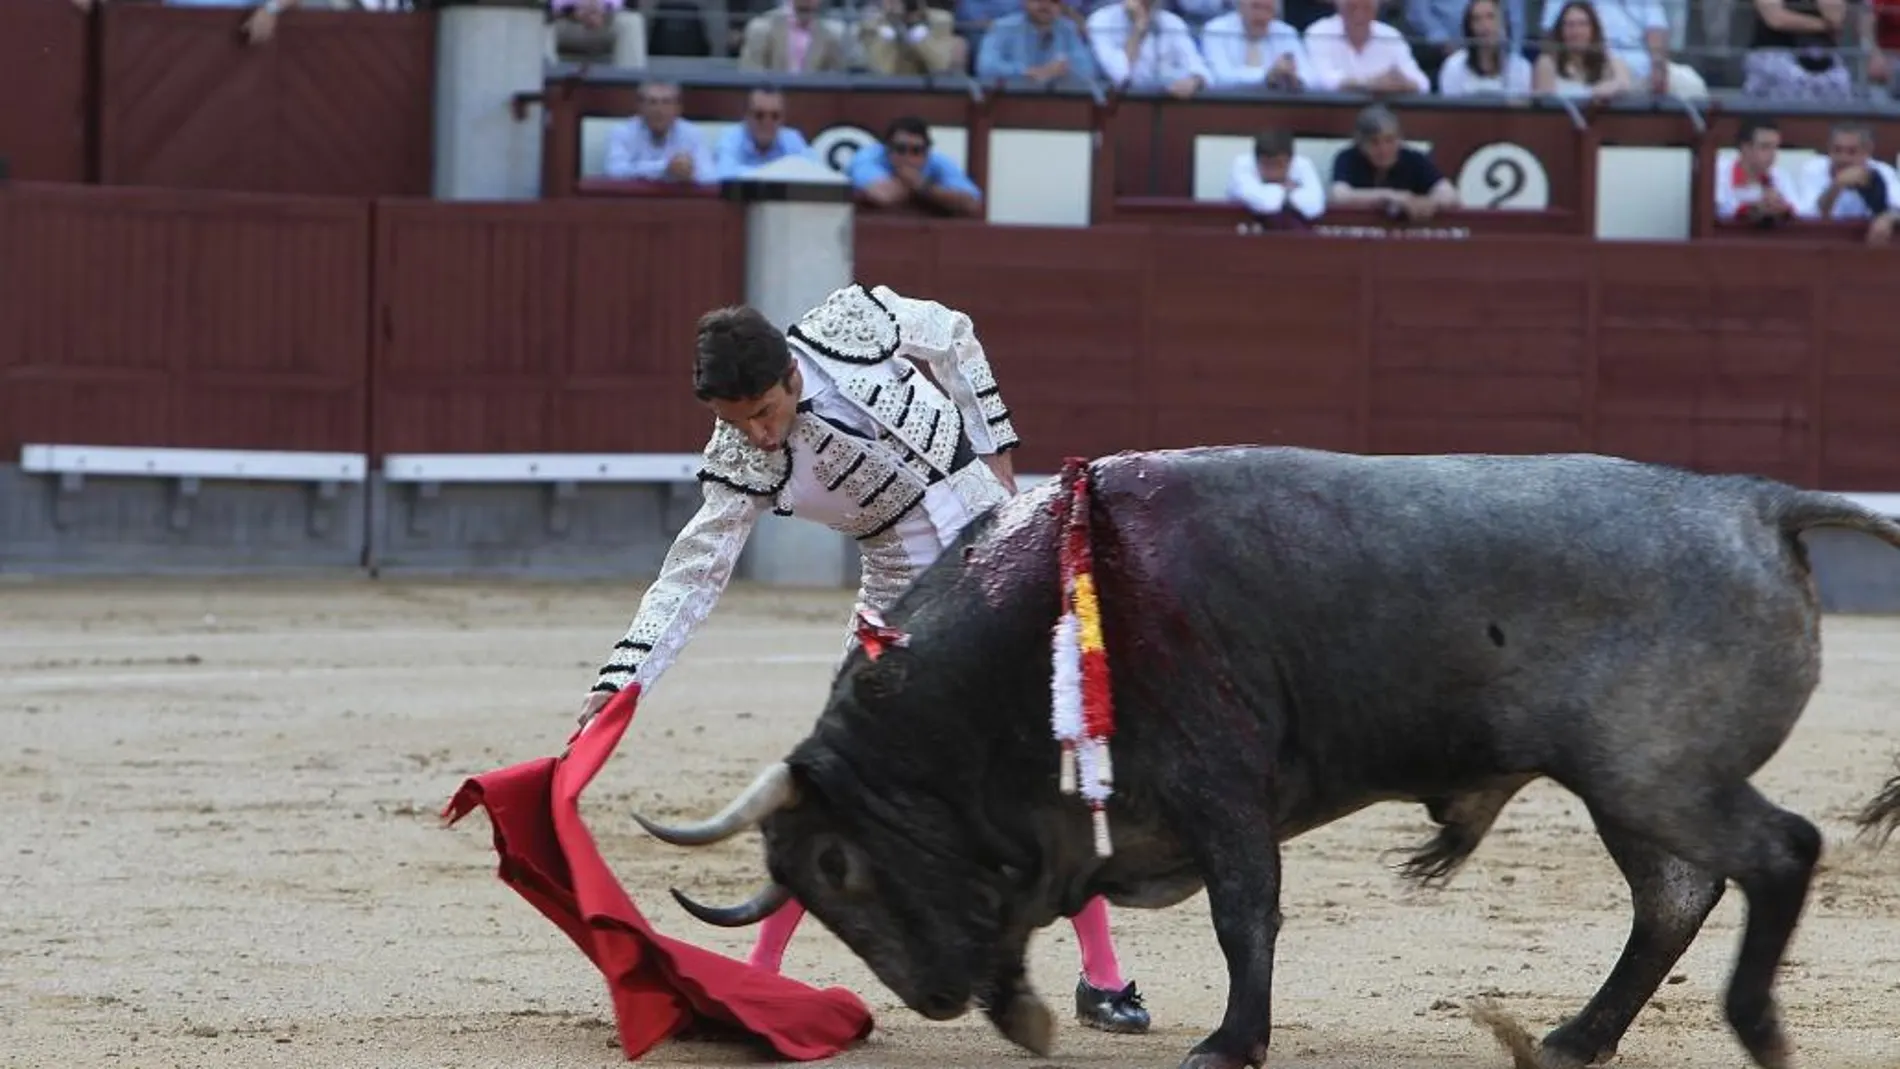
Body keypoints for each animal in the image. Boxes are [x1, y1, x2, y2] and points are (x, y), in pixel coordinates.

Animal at [627, 448, 1900, 1069]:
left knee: (1776, 852)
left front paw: (1228, 1044)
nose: (935, 997)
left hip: (1650, 772)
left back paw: (1754, 1027)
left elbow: (1246, 914)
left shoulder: (1219, 784)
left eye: (837, 868)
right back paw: (1572, 1040)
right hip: (1631, 786)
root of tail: (1753, 503)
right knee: (1675, 896)